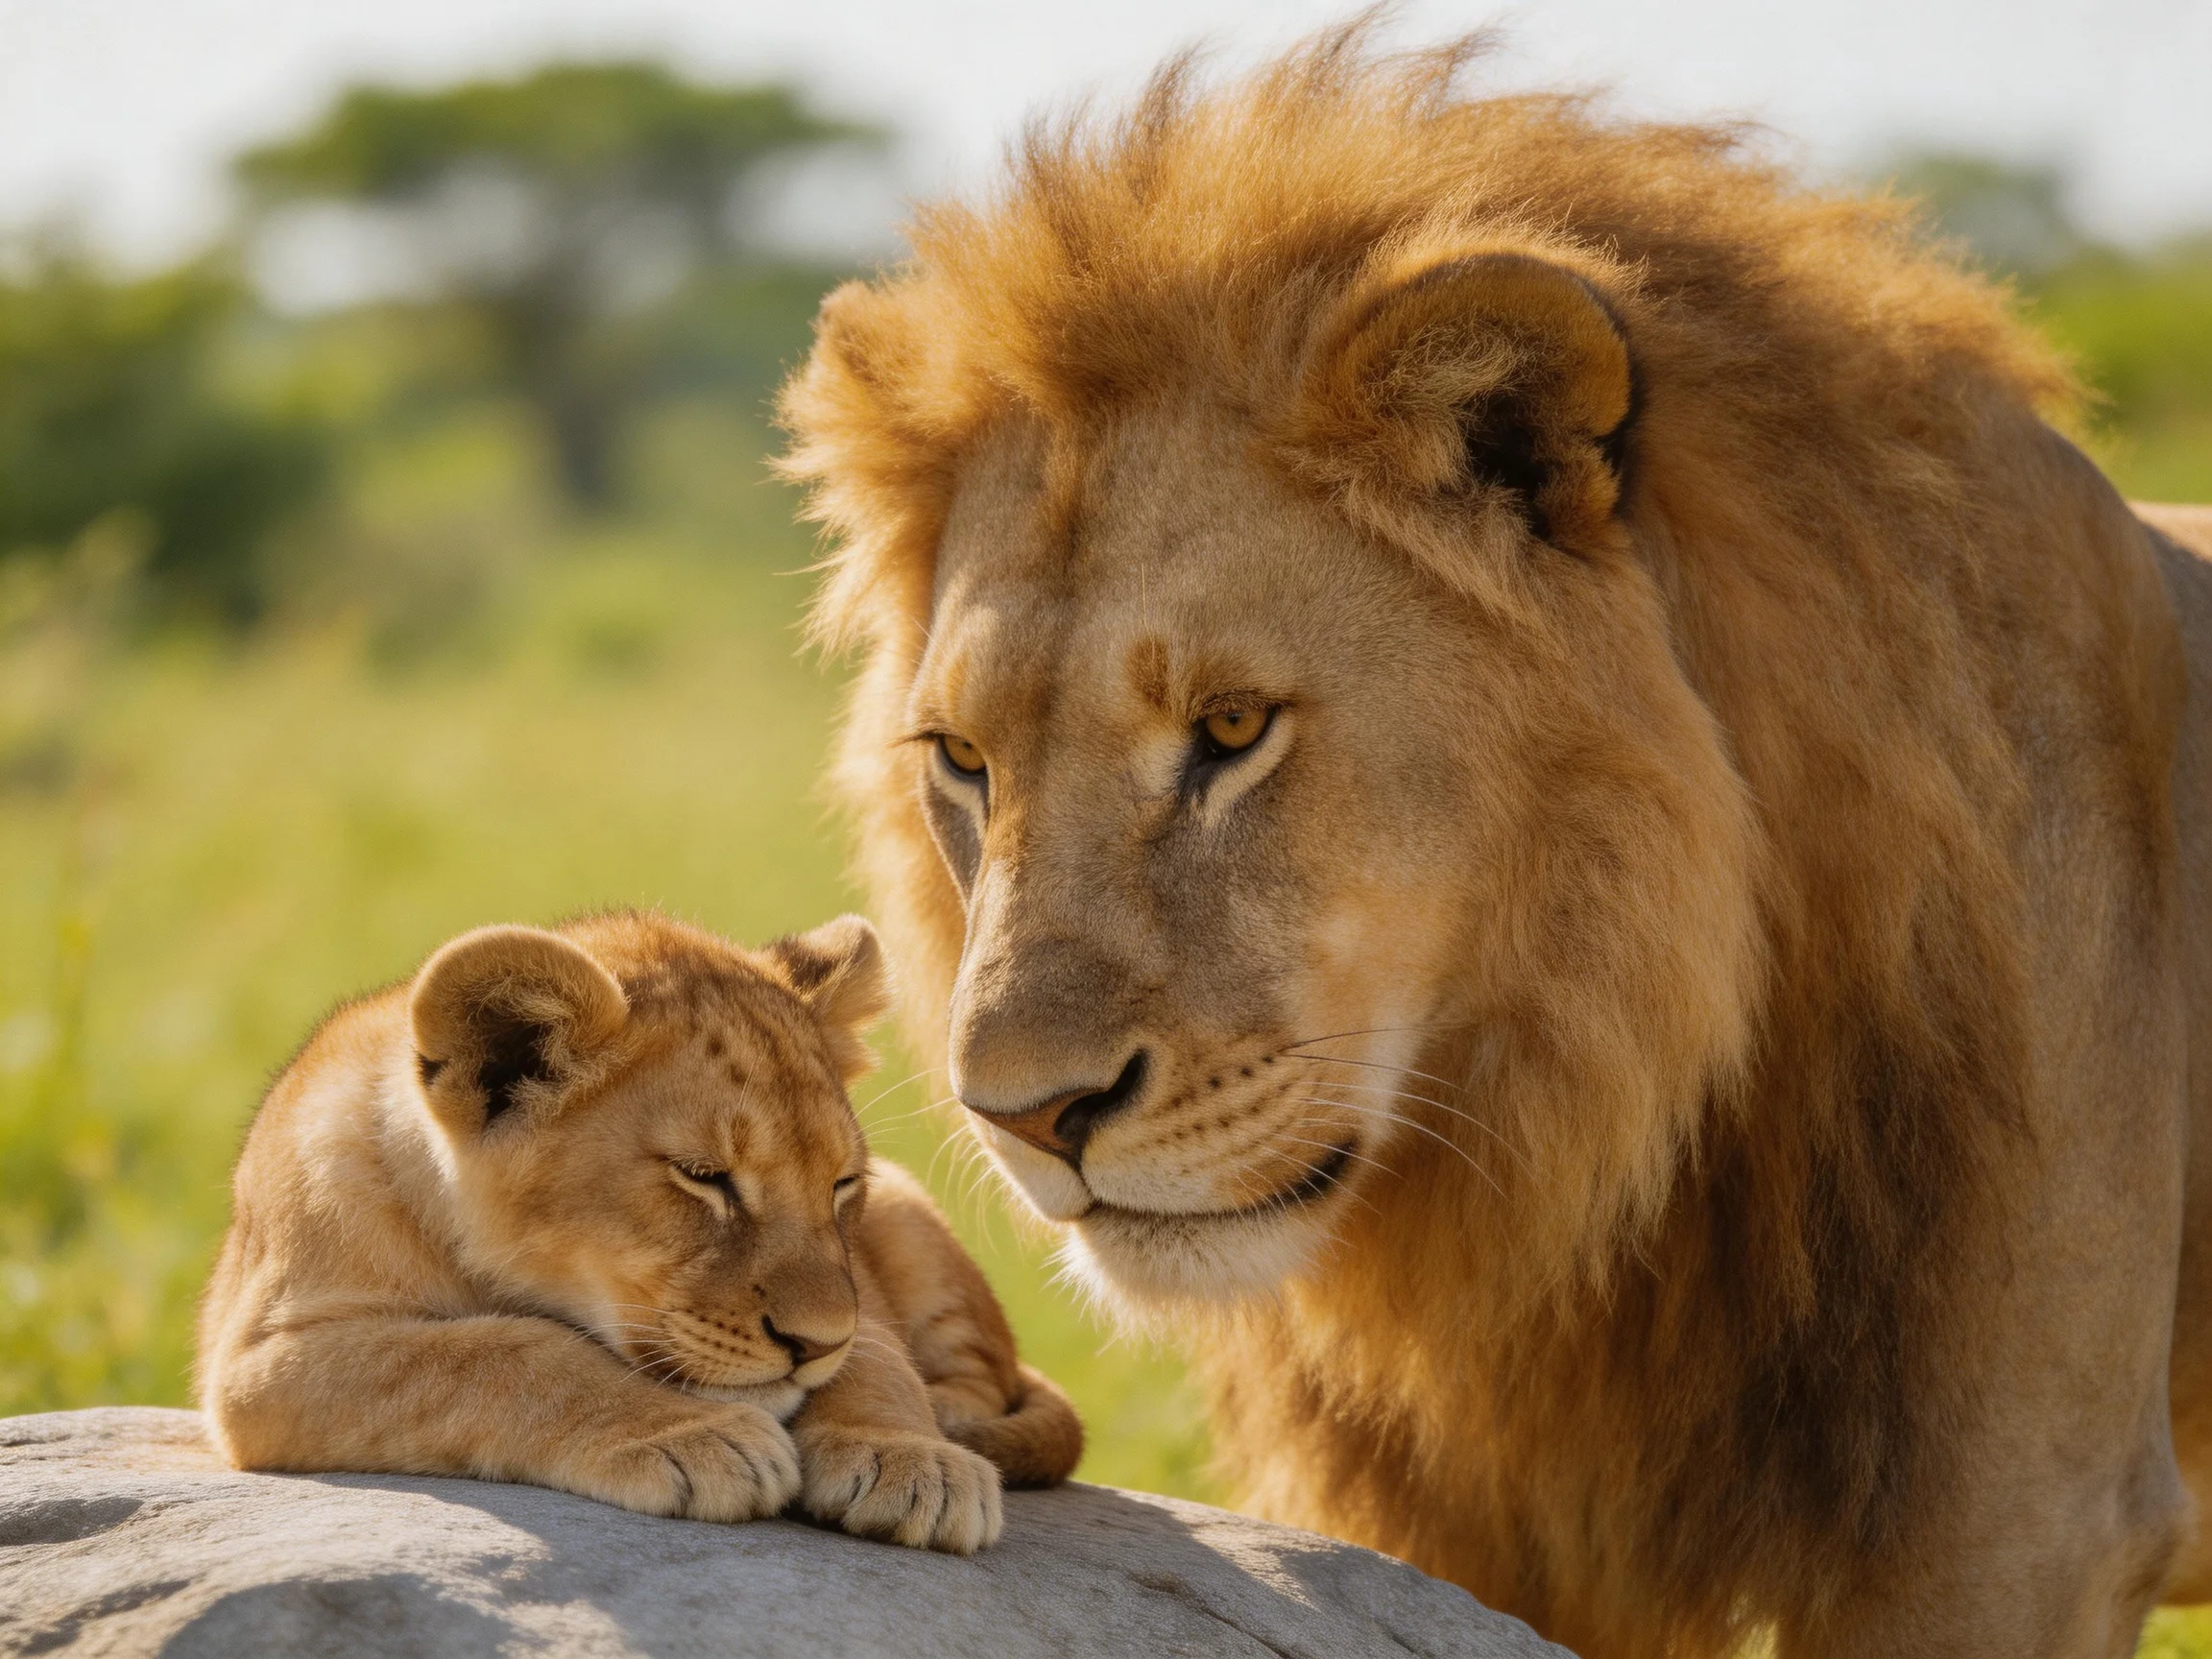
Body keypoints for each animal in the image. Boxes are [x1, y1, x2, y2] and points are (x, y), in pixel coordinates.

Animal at [196, 910, 1081, 1554]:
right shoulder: (262, 1366)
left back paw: (954, 1422)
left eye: (840, 1184)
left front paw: (909, 1458)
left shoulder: (858, 1284)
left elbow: (877, 1355)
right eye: (703, 1176)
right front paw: (700, 1436)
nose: (813, 1343)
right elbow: (498, 1351)